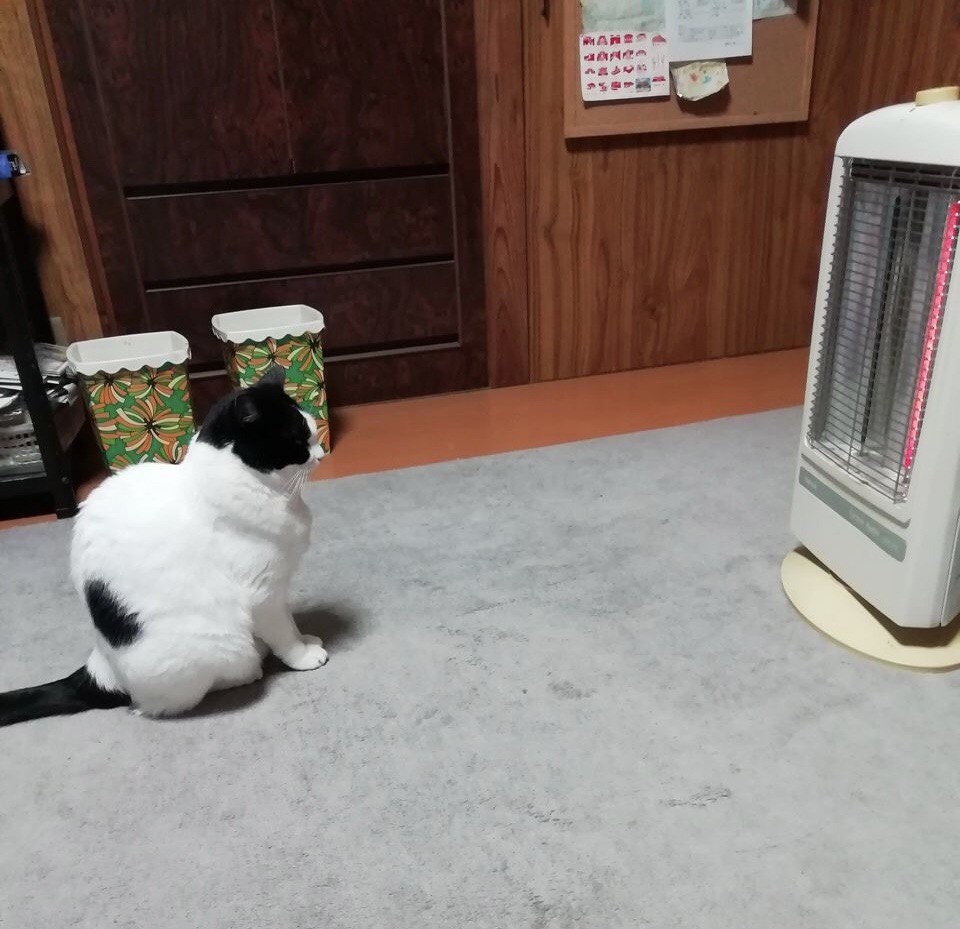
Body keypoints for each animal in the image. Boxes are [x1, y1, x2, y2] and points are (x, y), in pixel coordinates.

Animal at [0, 364, 326, 724]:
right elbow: (283, 631)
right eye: (298, 441)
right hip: (217, 645)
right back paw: (249, 668)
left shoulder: (279, 589)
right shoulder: (263, 593)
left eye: (312, 433)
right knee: (168, 700)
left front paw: (304, 637)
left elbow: (290, 621)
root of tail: (102, 667)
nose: (321, 455)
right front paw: (301, 655)